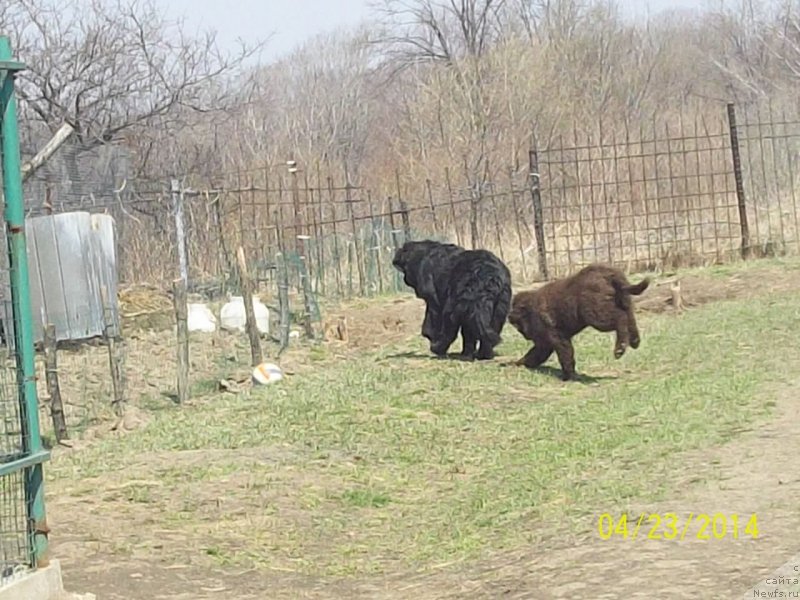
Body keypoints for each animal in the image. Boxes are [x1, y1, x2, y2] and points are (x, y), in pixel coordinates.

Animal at [512, 264, 648, 380]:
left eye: (517, 325)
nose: (525, 336)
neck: (530, 309)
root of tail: (607, 273)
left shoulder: (555, 338)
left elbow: (565, 355)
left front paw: (569, 377)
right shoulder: (545, 343)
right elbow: (533, 355)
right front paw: (517, 363)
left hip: (597, 315)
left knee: (620, 318)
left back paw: (620, 348)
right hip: (624, 302)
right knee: (630, 318)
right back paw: (635, 341)